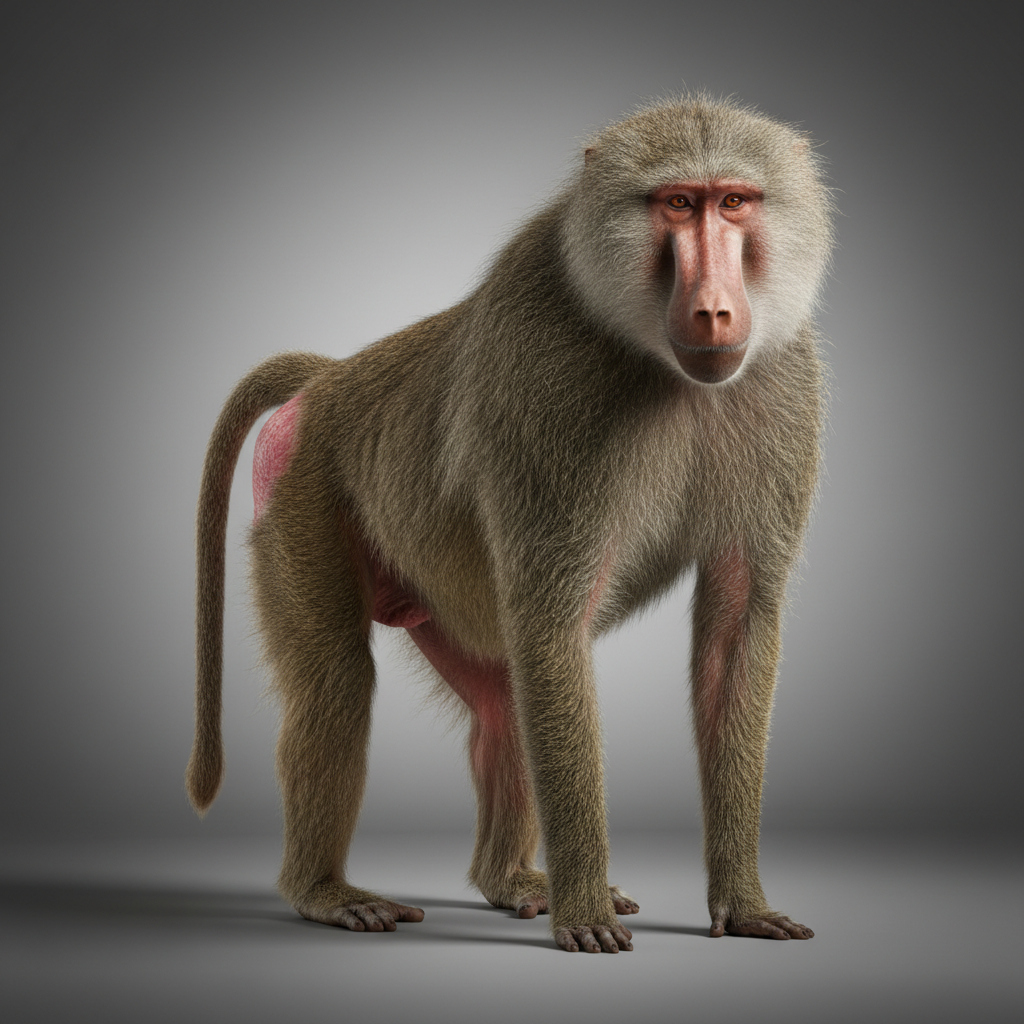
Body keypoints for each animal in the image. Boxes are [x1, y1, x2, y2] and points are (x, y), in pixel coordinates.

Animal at [187, 95, 833, 953]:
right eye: (676, 203)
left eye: (734, 202)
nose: (715, 309)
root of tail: (331, 379)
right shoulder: (547, 388)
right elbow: (554, 631)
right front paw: (584, 913)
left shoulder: (785, 388)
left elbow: (733, 630)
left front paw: (743, 903)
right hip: (301, 499)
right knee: (341, 682)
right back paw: (325, 893)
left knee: (502, 707)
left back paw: (511, 881)